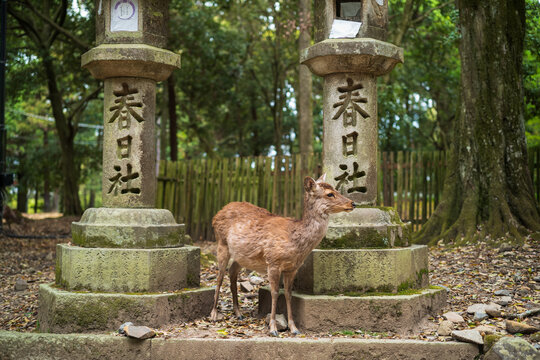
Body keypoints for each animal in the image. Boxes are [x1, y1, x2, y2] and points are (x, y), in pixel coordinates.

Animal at [210, 173, 354, 336]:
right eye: (330, 194)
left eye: (335, 189)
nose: (353, 203)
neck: (295, 243)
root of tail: (218, 213)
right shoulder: (273, 262)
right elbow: (274, 293)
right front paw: (273, 328)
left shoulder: (292, 268)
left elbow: (288, 294)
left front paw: (294, 328)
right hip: (221, 243)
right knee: (220, 276)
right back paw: (214, 314)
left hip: (241, 256)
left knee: (232, 272)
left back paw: (238, 313)